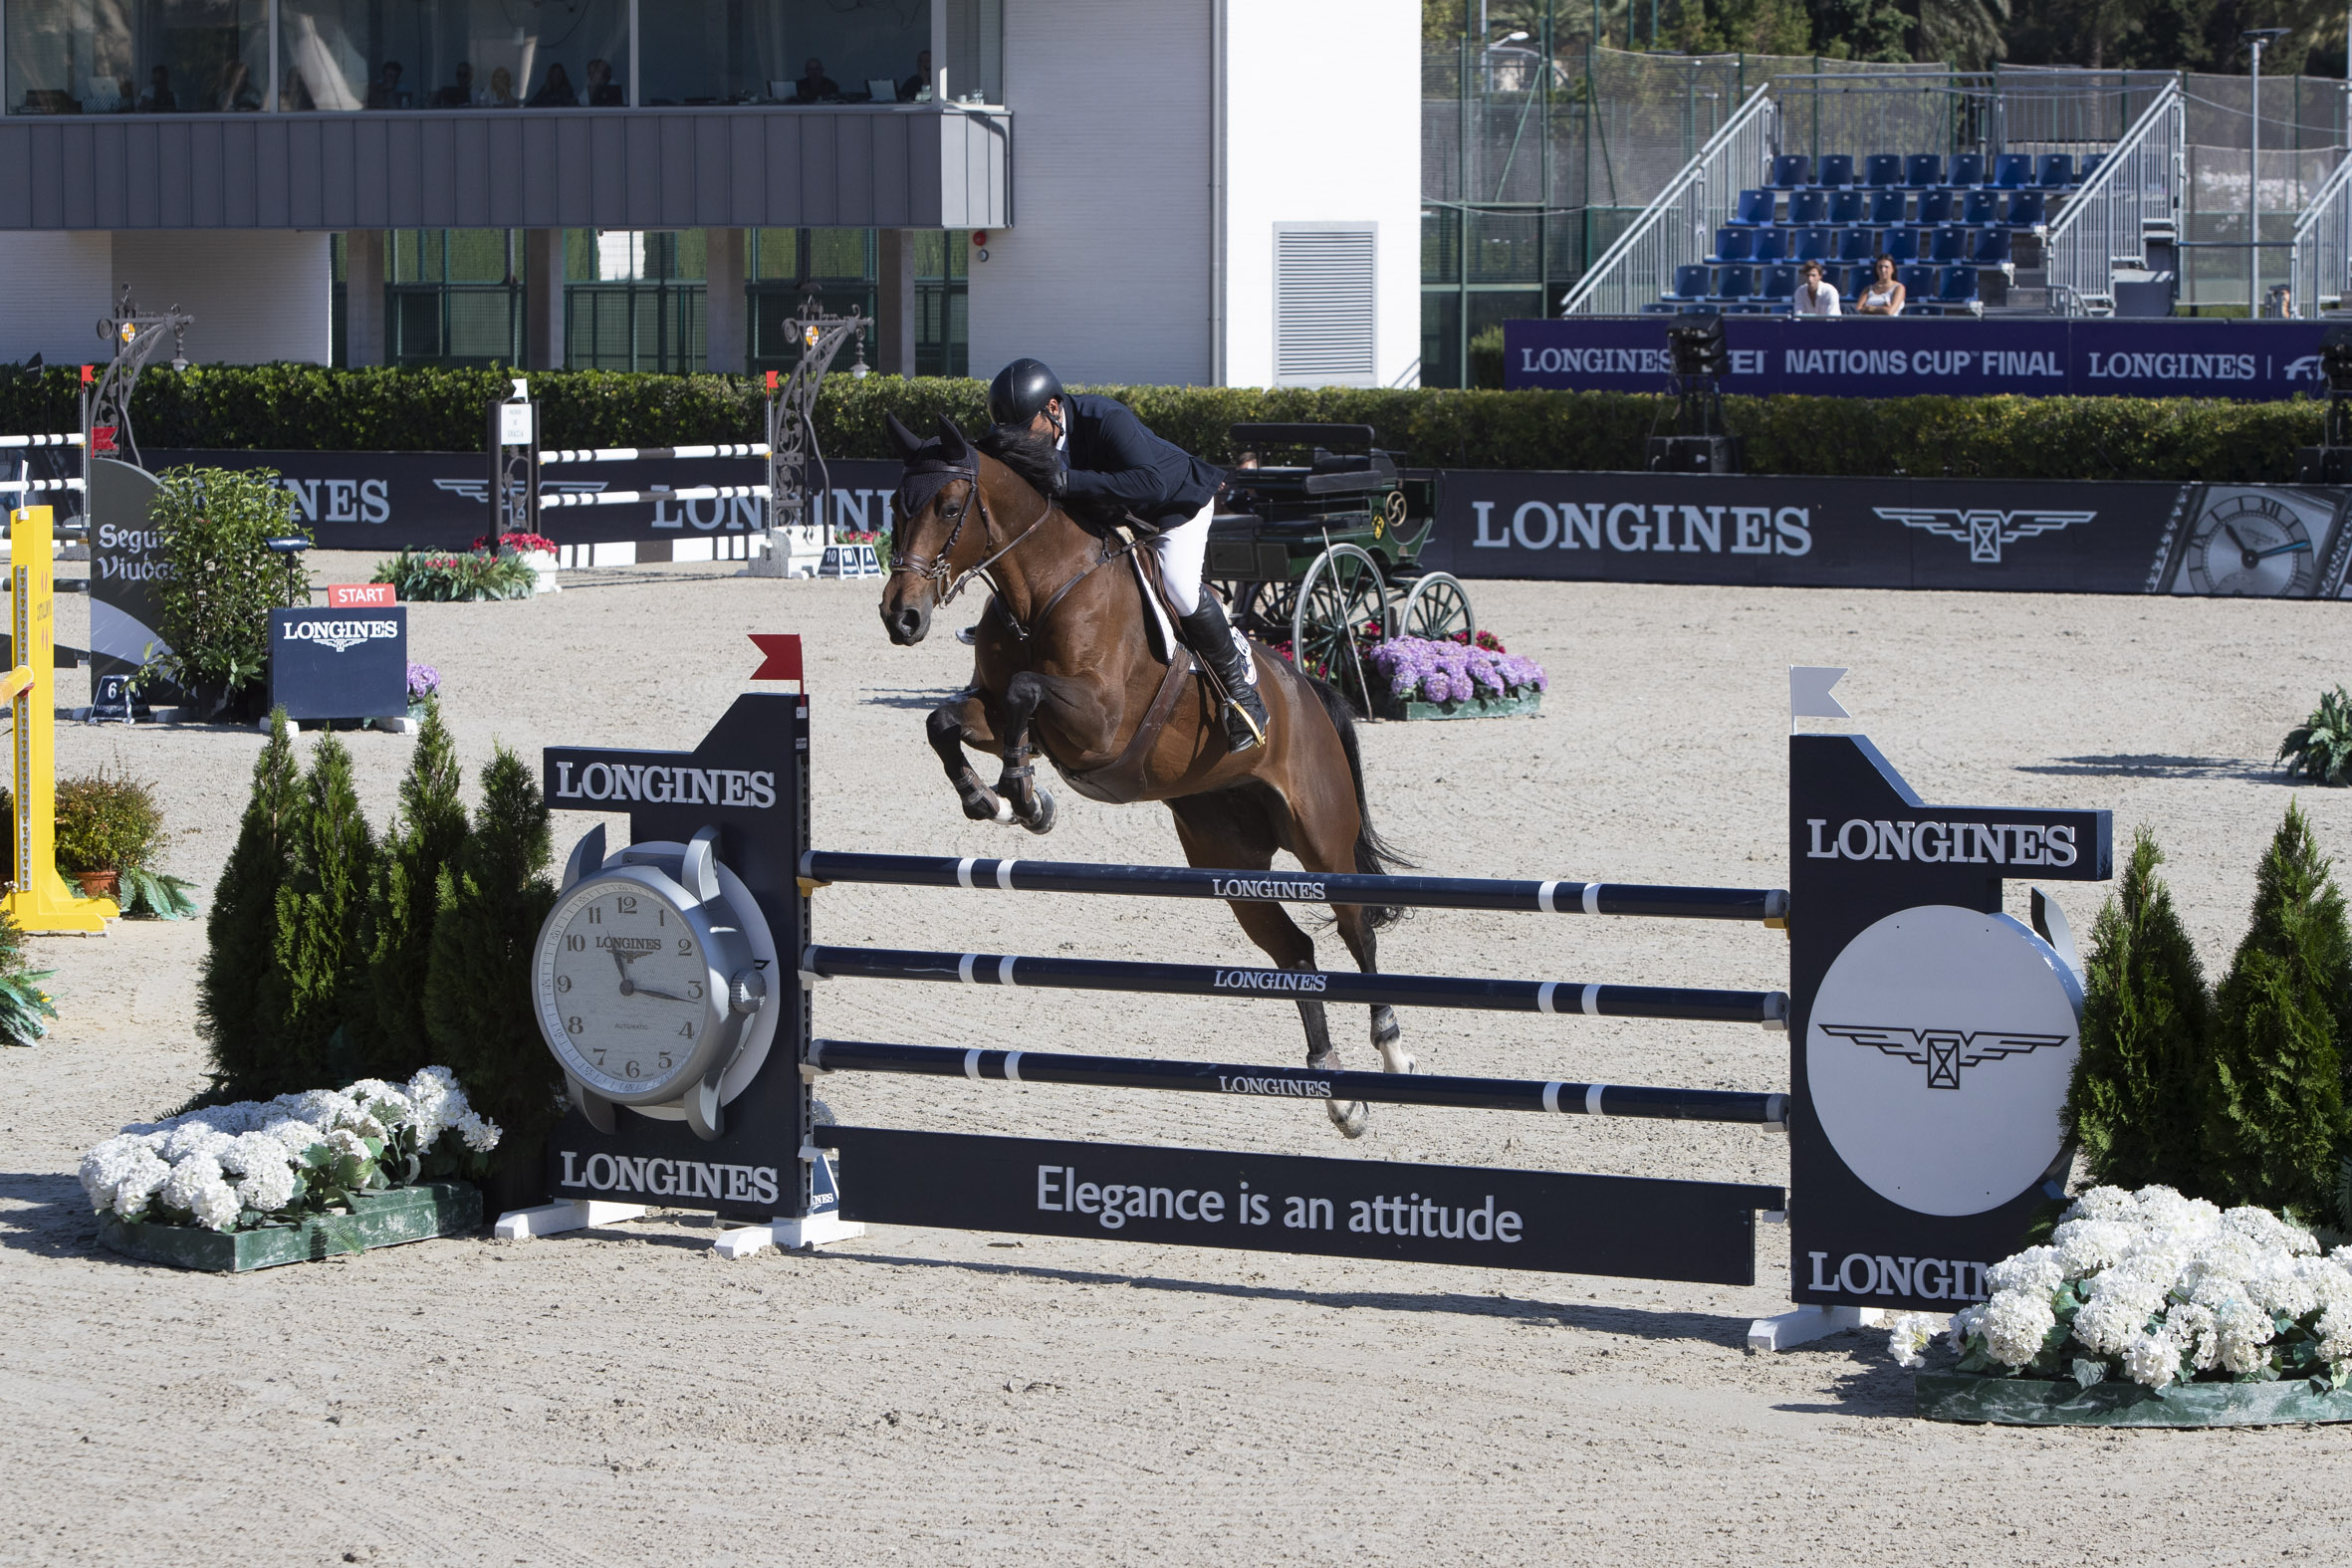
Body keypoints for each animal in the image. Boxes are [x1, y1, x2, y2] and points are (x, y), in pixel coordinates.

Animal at [874, 411, 1401, 1133]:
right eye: (896, 507)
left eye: (950, 507)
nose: (901, 617)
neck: (1041, 587)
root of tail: (1310, 690)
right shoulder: (997, 708)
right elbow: (946, 721)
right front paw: (998, 800)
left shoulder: (1098, 722)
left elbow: (1026, 694)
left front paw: (1022, 794)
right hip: (1230, 860)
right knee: (1296, 953)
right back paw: (1338, 1091)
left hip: (1322, 838)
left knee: (1357, 928)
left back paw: (1390, 1047)